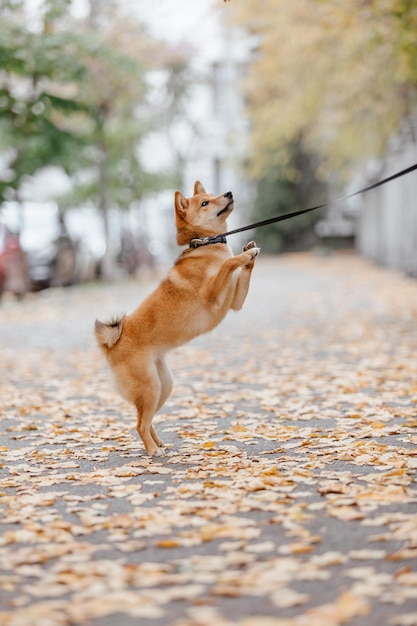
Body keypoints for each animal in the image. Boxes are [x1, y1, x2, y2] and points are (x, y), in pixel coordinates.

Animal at [94, 180, 258, 454]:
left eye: (211, 194)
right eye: (205, 202)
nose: (228, 193)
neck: (206, 245)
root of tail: (111, 344)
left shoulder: (234, 302)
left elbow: (242, 272)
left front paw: (250, 254)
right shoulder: (212, 296)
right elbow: (228, 264)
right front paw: (241, 256)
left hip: (163, 387)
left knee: (145, 419)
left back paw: (158, 443)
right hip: (151, 387)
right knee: (139, 424)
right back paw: (153, 450)